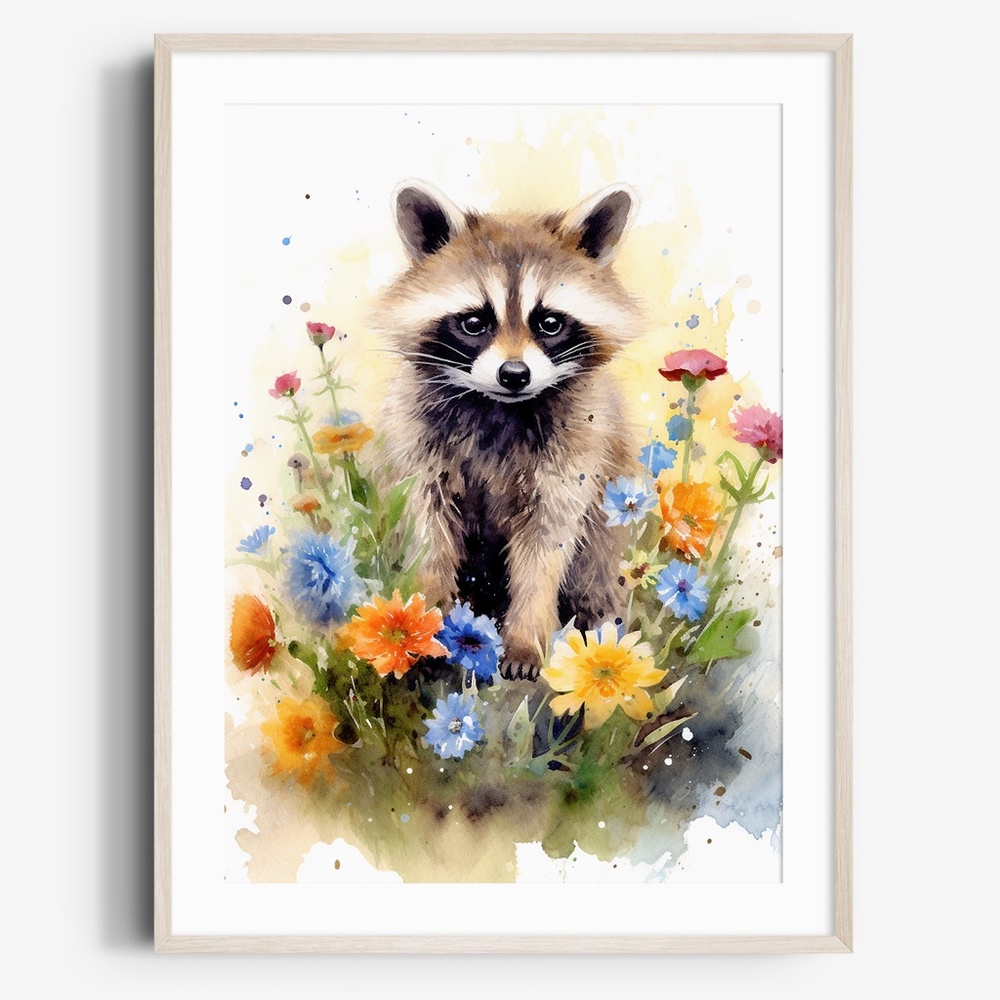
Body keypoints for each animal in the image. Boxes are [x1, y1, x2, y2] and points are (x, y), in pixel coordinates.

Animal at [374, 180, 643, 679]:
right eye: (474, 323)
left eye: (549, 323)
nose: (514, 374)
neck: (499, 407)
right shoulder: (416, 441)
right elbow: (426, 530)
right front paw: (424, 619)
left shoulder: (574, 451)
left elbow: (547, 544)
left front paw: (526, 634)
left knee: (594, 563)